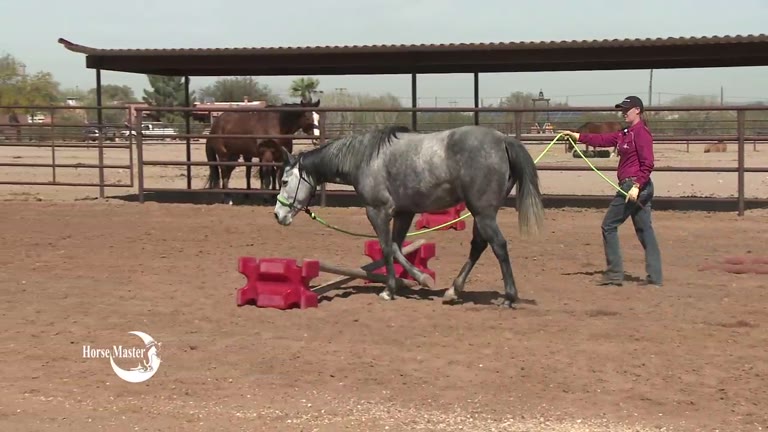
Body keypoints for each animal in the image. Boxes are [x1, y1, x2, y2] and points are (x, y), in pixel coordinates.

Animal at [273, 124, 545, 308]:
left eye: (284, 181)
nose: (278, 214)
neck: (365, 159)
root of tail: (503, 140)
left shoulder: (377, 210)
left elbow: (386, 247)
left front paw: (391, 289)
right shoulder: (404, 212)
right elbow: (396, 246)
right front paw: (421, 279)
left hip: (483, 213)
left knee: (498, 245)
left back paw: (509, 297)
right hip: (482, 213)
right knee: (479, 245)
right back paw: (453, 291)